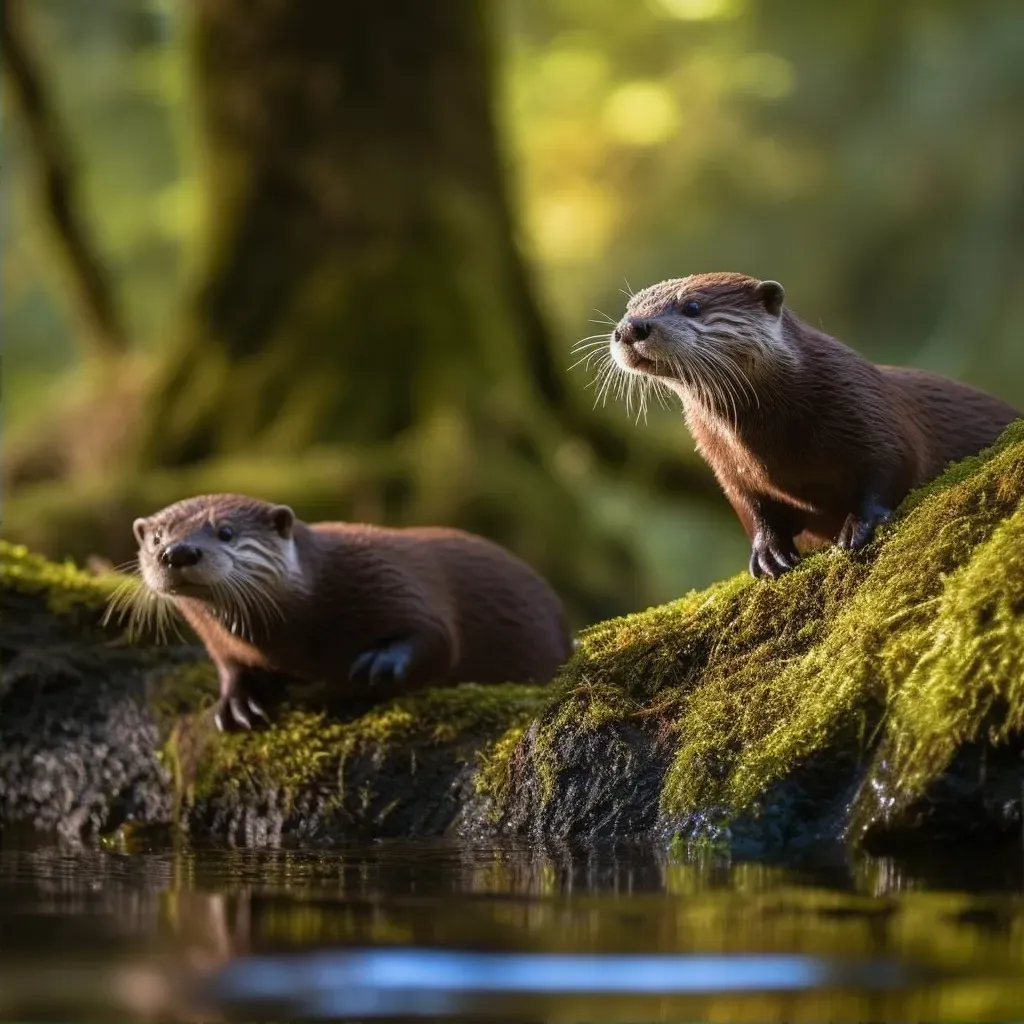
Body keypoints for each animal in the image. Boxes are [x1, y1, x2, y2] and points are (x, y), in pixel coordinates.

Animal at [117, 493, 577, 729]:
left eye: (225, 532)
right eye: (157, 537)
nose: (177, 552)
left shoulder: (393, 577)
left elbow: (440, 636)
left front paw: (379, 664)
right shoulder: (226, 646)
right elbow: (233, 668)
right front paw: (238, 702)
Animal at [602, 270, 1019, 577]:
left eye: (692, 306)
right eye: (629, 308)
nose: (631, 327)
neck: (779, 446)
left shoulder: (872, 411)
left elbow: (891, 467)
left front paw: (858, 526)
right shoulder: (725, 464)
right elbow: (752, 508)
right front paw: (768, 552)